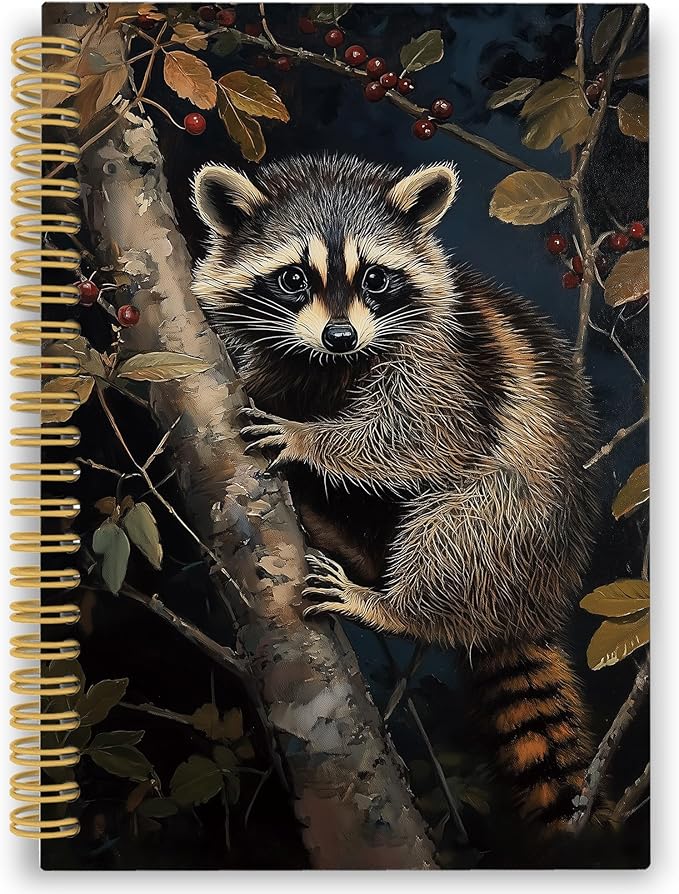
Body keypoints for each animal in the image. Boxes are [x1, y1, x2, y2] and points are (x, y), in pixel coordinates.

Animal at [191, 154, 599, 835]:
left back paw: (393, 605)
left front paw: (311, 439)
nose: (339, 336)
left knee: (462, 526)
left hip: (520, 527)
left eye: (377, 278)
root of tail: (533, 604)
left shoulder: (447, 361)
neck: (333, 365)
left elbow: (420, 435)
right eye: (293, 278)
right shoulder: (293, 360)